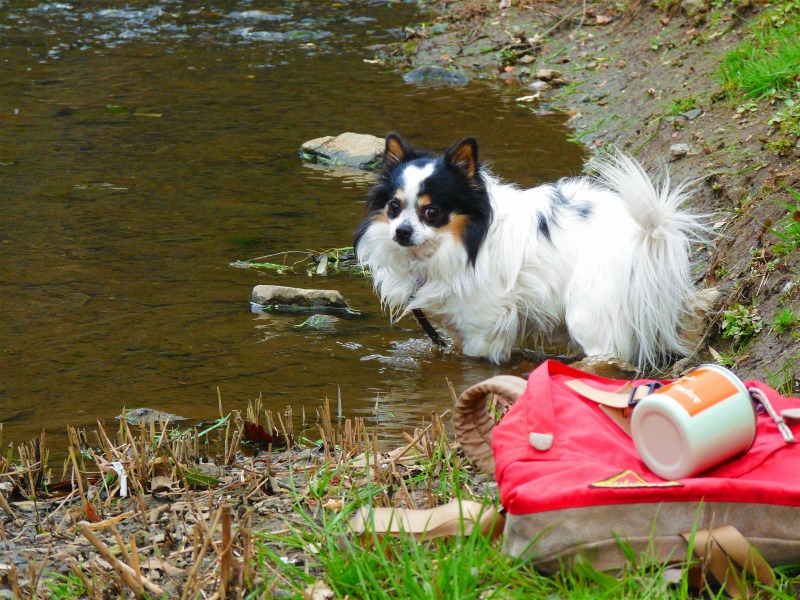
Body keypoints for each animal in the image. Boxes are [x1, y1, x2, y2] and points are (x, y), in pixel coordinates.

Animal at [354, 133, 708, 368]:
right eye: (394, 207)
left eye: (431, 212)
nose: (401, 232)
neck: (461, 240)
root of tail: (646, 232)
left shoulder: (483, 324)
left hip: (589, 311)